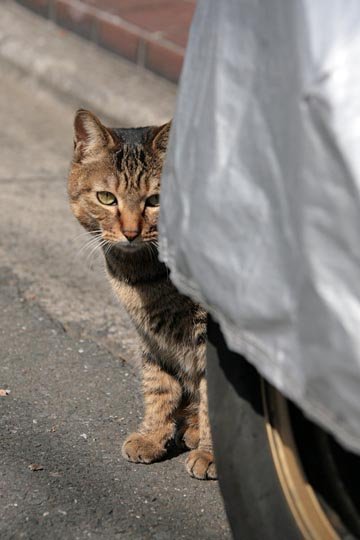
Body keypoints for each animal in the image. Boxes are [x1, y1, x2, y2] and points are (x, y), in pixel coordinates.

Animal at [68, 107, 217, 478]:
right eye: (107, 198)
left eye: (156, 201)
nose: (131, 232)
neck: (146, 277)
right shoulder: (151, 337)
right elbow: (158, 386)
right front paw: (152, 436)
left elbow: (213, 400)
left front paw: (211, 454)